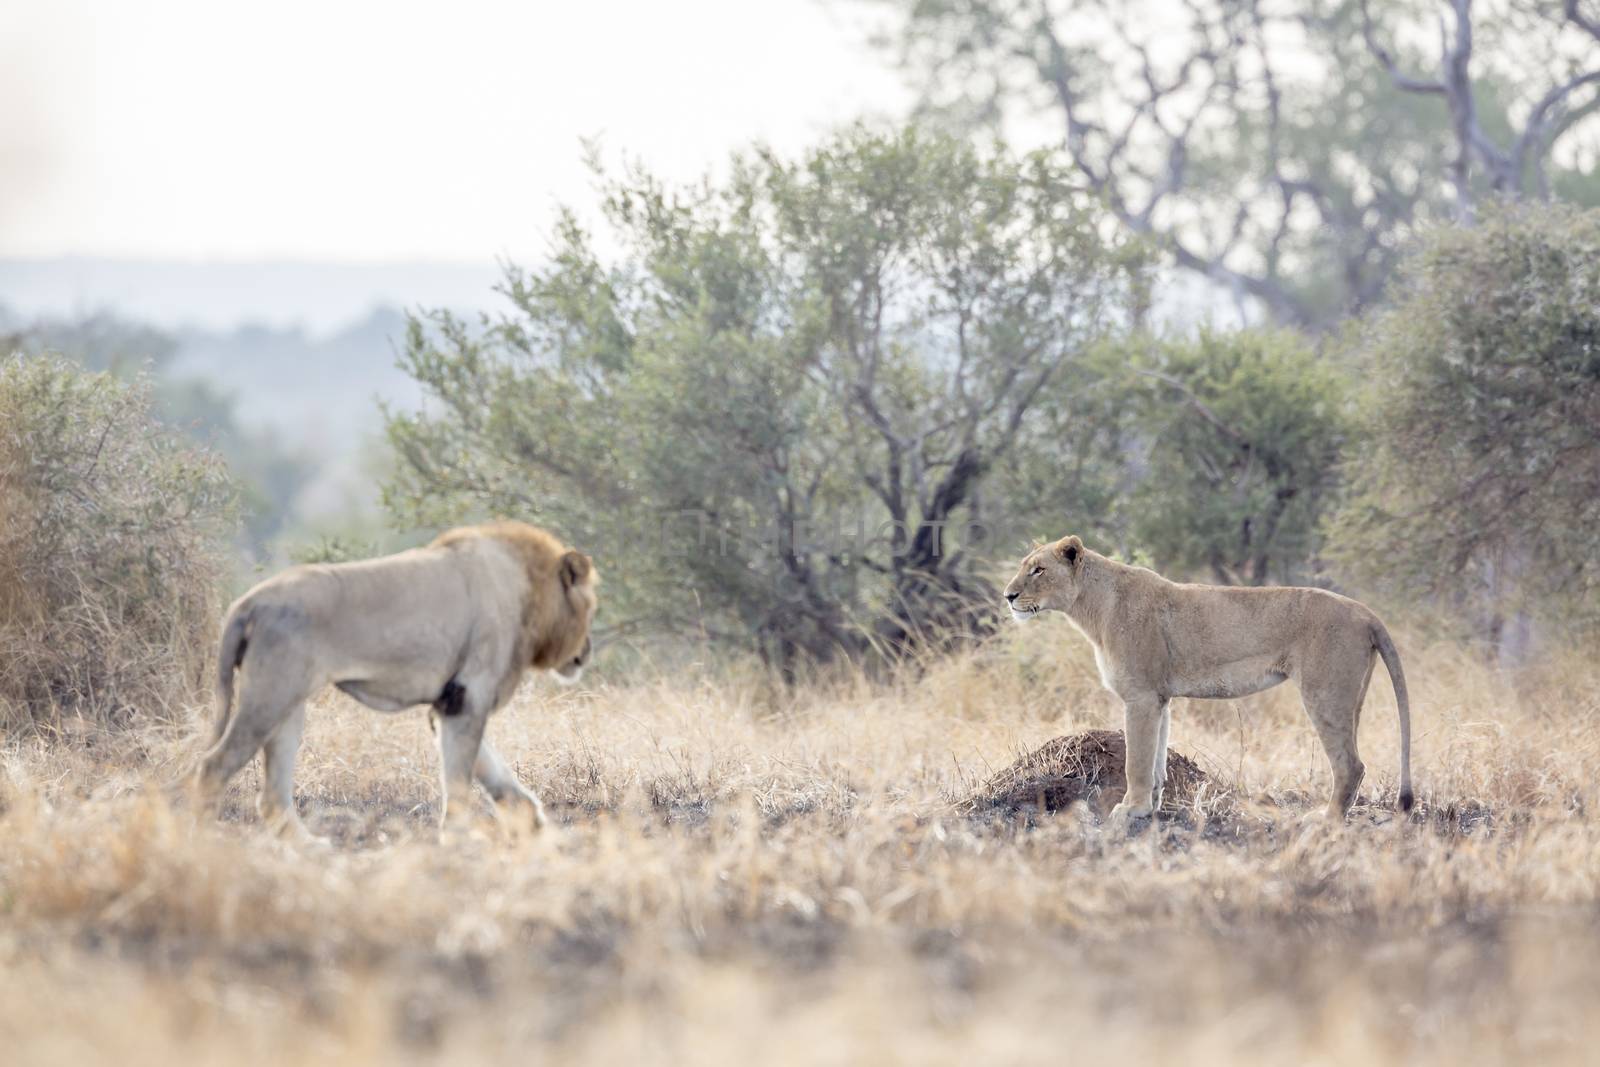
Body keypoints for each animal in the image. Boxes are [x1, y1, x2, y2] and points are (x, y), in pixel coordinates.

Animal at [196, 521, 598, 838]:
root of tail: (248, 603)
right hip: (269, 696)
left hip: (288, 705)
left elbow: (489, 767)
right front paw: (457, 840)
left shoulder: (450, 702)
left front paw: (528, 816)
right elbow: (460, 781)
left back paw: (312, 848)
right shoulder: (469, 696)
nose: (588, 649)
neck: (529, 588)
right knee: (215, 765)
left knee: (271, 796)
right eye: (591, 607)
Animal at [1004, 537, 1408, 831]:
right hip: (1351, 698)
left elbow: (1137, 760)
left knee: (1351, 764)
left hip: (1324, 695)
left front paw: (1131, 810)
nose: (1008, 596)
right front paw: (1151, 807)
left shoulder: (1140, 696)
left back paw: (1326, 820)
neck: (1092, 606)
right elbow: (1156, 761)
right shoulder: (1159, 698)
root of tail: (1365, 611)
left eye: (1038, 569)